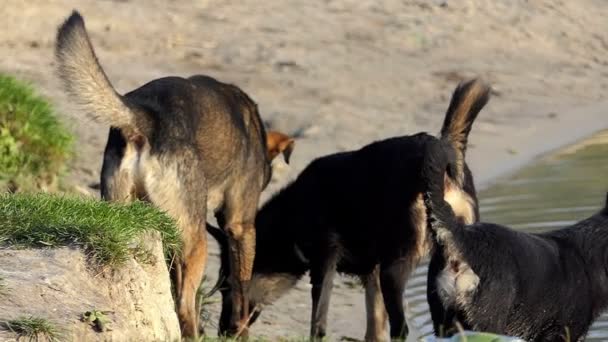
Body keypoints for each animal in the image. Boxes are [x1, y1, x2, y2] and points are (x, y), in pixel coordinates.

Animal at [54, 10, 290, 340]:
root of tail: (144, 117)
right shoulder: (239, 227)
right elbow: (241, 290)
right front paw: (238, 330)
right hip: (196, 239)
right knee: (184, 307)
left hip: (123, 210)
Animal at [209, 79, 490, 340]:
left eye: (227, 288)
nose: (222, 331)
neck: (291, 217)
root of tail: (444, 152)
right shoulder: (371, 274)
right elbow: (373, 328)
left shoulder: (325, 264)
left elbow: (318, 322)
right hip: (442, 267)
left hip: (395, 269)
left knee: (401, 328)